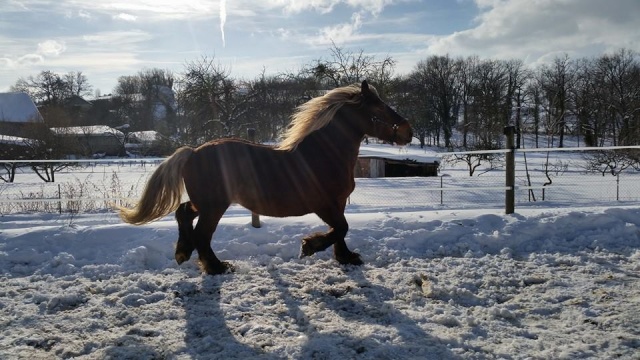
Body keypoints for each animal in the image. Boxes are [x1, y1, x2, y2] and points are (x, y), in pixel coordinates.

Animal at [117, 80, 412, 274]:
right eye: (380, 108)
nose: (408, 131)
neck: (324, 154)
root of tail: (193, 152)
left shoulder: (338, 203)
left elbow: (341, 231)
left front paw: (346, 257)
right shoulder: (325, 205)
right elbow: (340, 228)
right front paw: (309, 246)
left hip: (206, 203)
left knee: (184, 212)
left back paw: (183, 252)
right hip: (215, 206)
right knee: (202, 233)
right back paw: (216, 266)